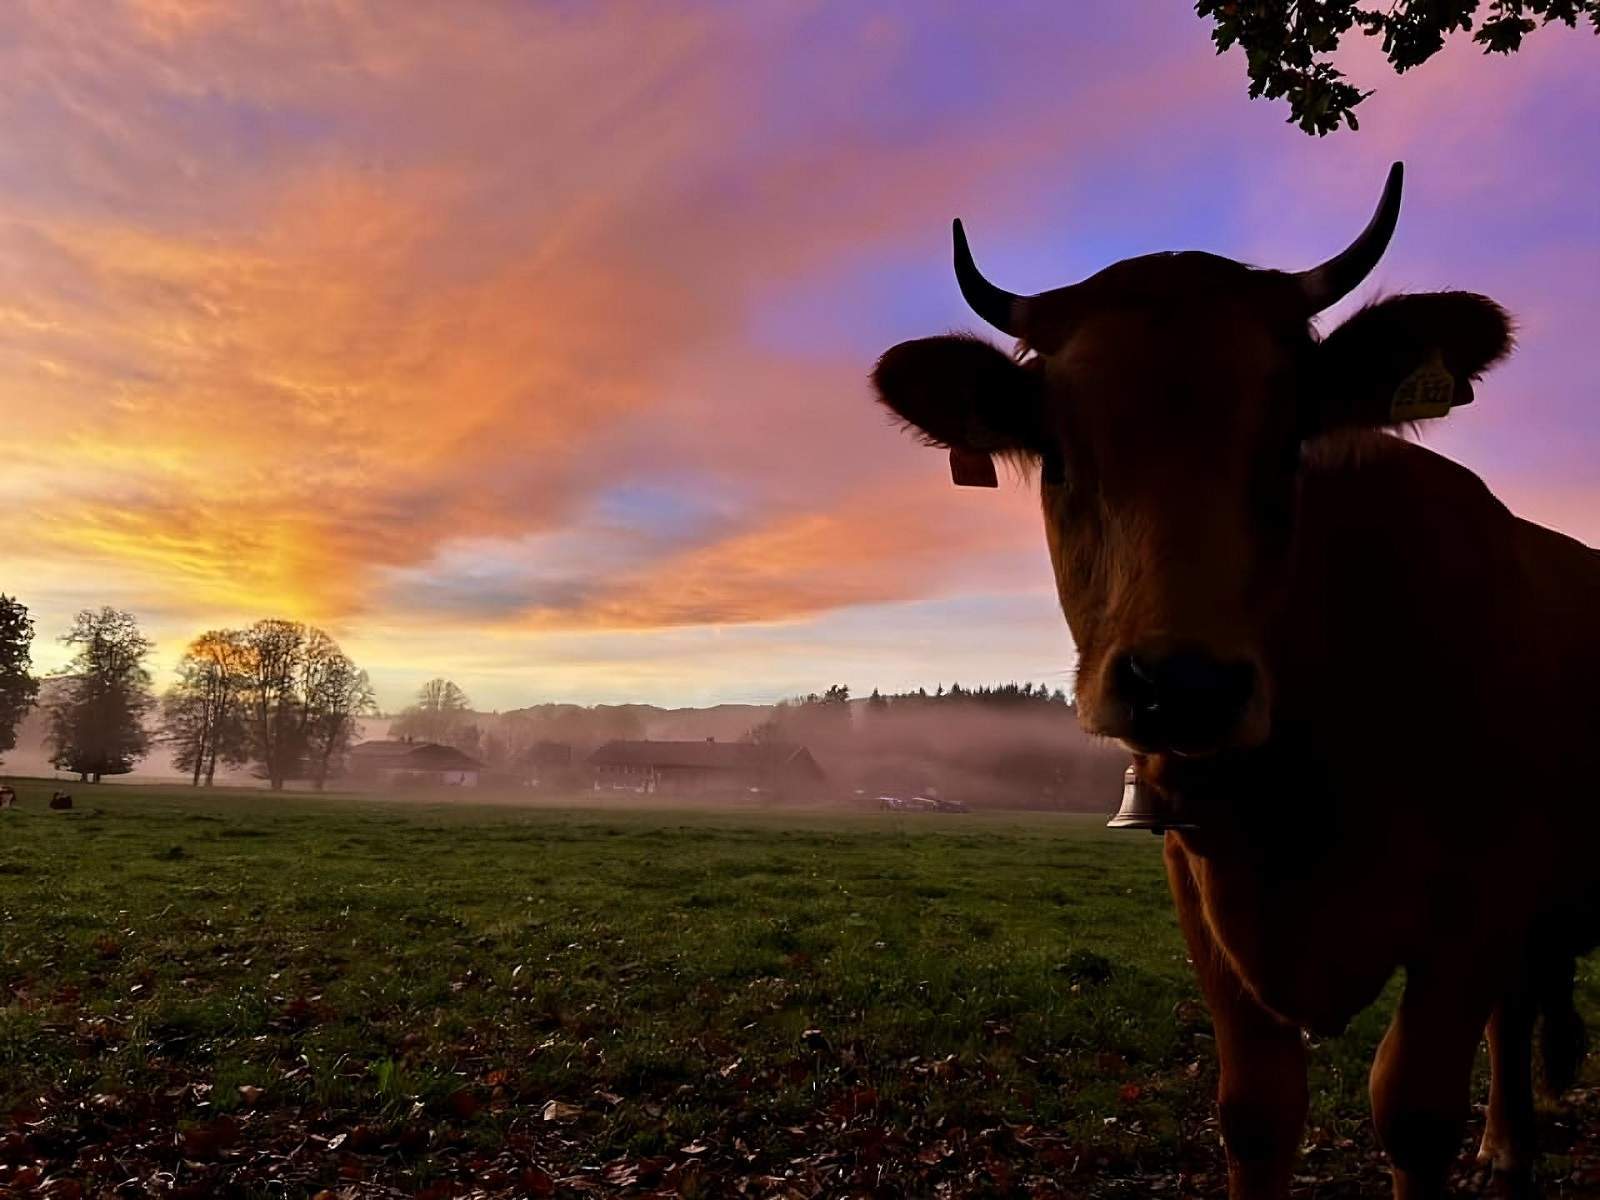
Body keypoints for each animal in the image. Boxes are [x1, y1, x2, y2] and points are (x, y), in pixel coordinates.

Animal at [876, 162, 1600, 1200]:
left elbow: (1414, 1111)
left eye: (1288, 438)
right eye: (1057, 454)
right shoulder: (1201, 885)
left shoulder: (1479, 901)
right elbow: (1257, 1114)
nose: (1183, 684)